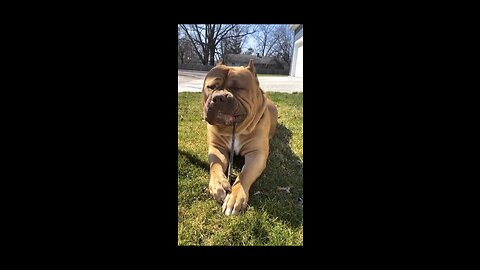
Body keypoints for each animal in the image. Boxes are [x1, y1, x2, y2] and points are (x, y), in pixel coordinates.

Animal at [202, 59, 278, 215]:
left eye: (238, 88)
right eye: (211, 87)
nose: (219, 97)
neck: (233, 129)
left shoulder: (256, 154)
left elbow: (245, 174)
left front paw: (235, 197)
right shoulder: (217, 148)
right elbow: (215, 165)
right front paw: (218, 184)